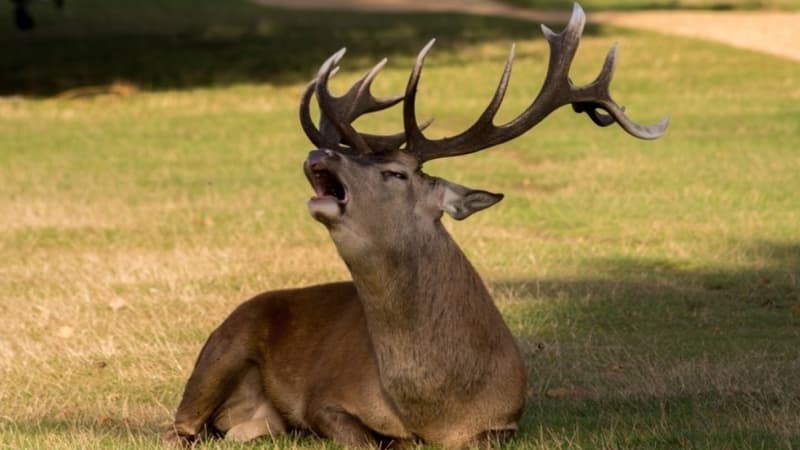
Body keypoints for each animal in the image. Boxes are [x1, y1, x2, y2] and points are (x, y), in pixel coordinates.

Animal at [163, 4, 667, 449]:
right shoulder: (325, 400)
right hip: (222, 348)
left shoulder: (505, 421)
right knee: (179, 427)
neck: (435, 406)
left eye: (395, 173)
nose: (319, 152)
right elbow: (362, 437)